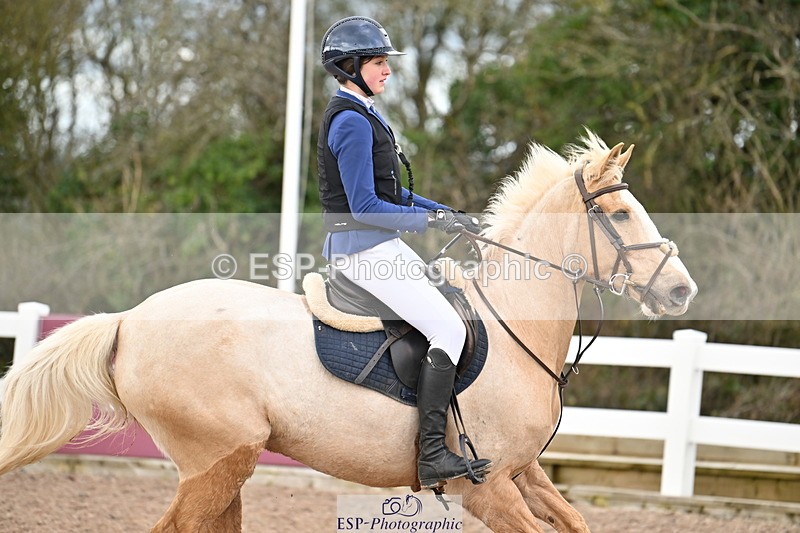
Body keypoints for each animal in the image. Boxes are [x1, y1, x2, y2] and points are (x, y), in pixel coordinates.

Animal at [0, 131, 696, 532]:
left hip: (225, 469)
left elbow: (576, 522)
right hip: (217, 462)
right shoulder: (490, 488)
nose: (680, 290)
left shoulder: (525, 472)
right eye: (619, 213)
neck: (513, 324)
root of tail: (129, 320)